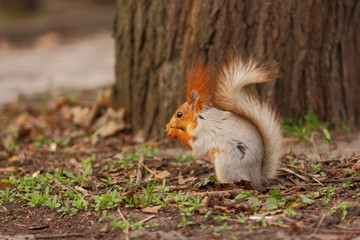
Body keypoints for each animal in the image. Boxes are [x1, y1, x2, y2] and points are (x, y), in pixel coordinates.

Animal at [166, 52, 284, 189]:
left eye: (179, 114)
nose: (167, 125)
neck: (199, 116)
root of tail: (256, 179)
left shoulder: (204, 131)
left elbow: (196, 145)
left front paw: (173, 132)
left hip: (226, 164)